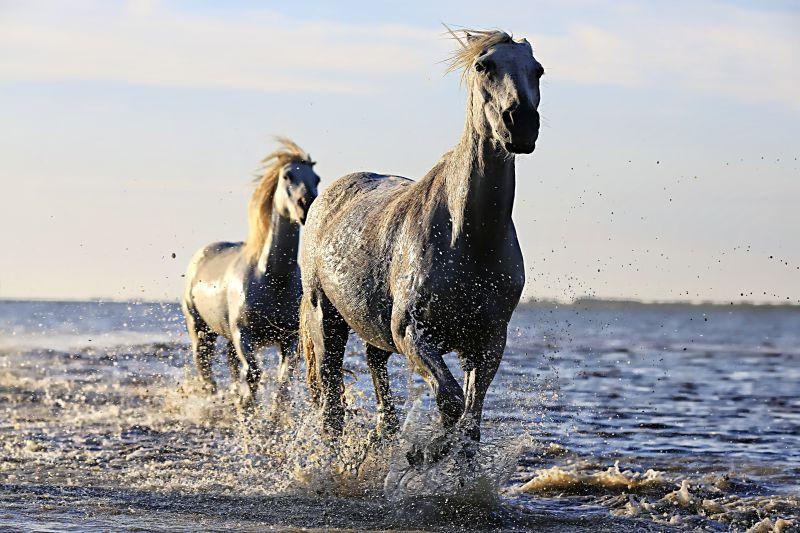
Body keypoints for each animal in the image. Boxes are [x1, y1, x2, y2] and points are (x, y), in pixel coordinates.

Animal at [300, 31, 544, 446]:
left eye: (538, 70)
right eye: (484, 66)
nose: (521, 123)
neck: (468, 240)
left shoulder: (488, 341)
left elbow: (469, 422)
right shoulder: (412, 332)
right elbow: (450, 401)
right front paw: (424, 453)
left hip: (372, 329)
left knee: (377, 375)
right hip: (326, 320)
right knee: (331, 403)